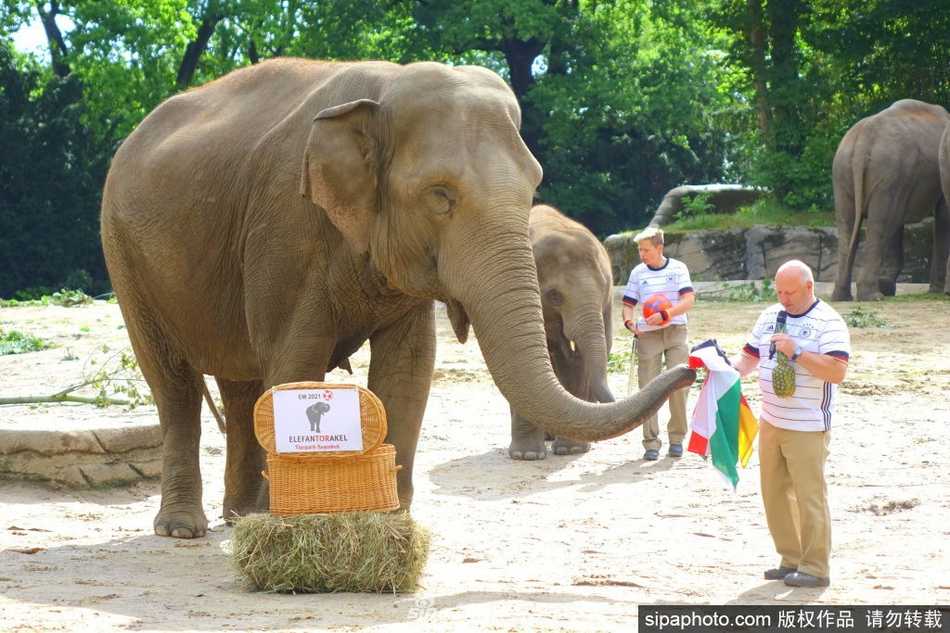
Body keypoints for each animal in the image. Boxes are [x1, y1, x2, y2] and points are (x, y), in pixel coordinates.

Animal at [831, 99, 950, 301]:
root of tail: (864, 136)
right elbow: (942, 216)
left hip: (844, 170)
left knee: (848, 223)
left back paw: (842, 296)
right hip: (886, 171)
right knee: (882, 223)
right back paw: (873, 296)